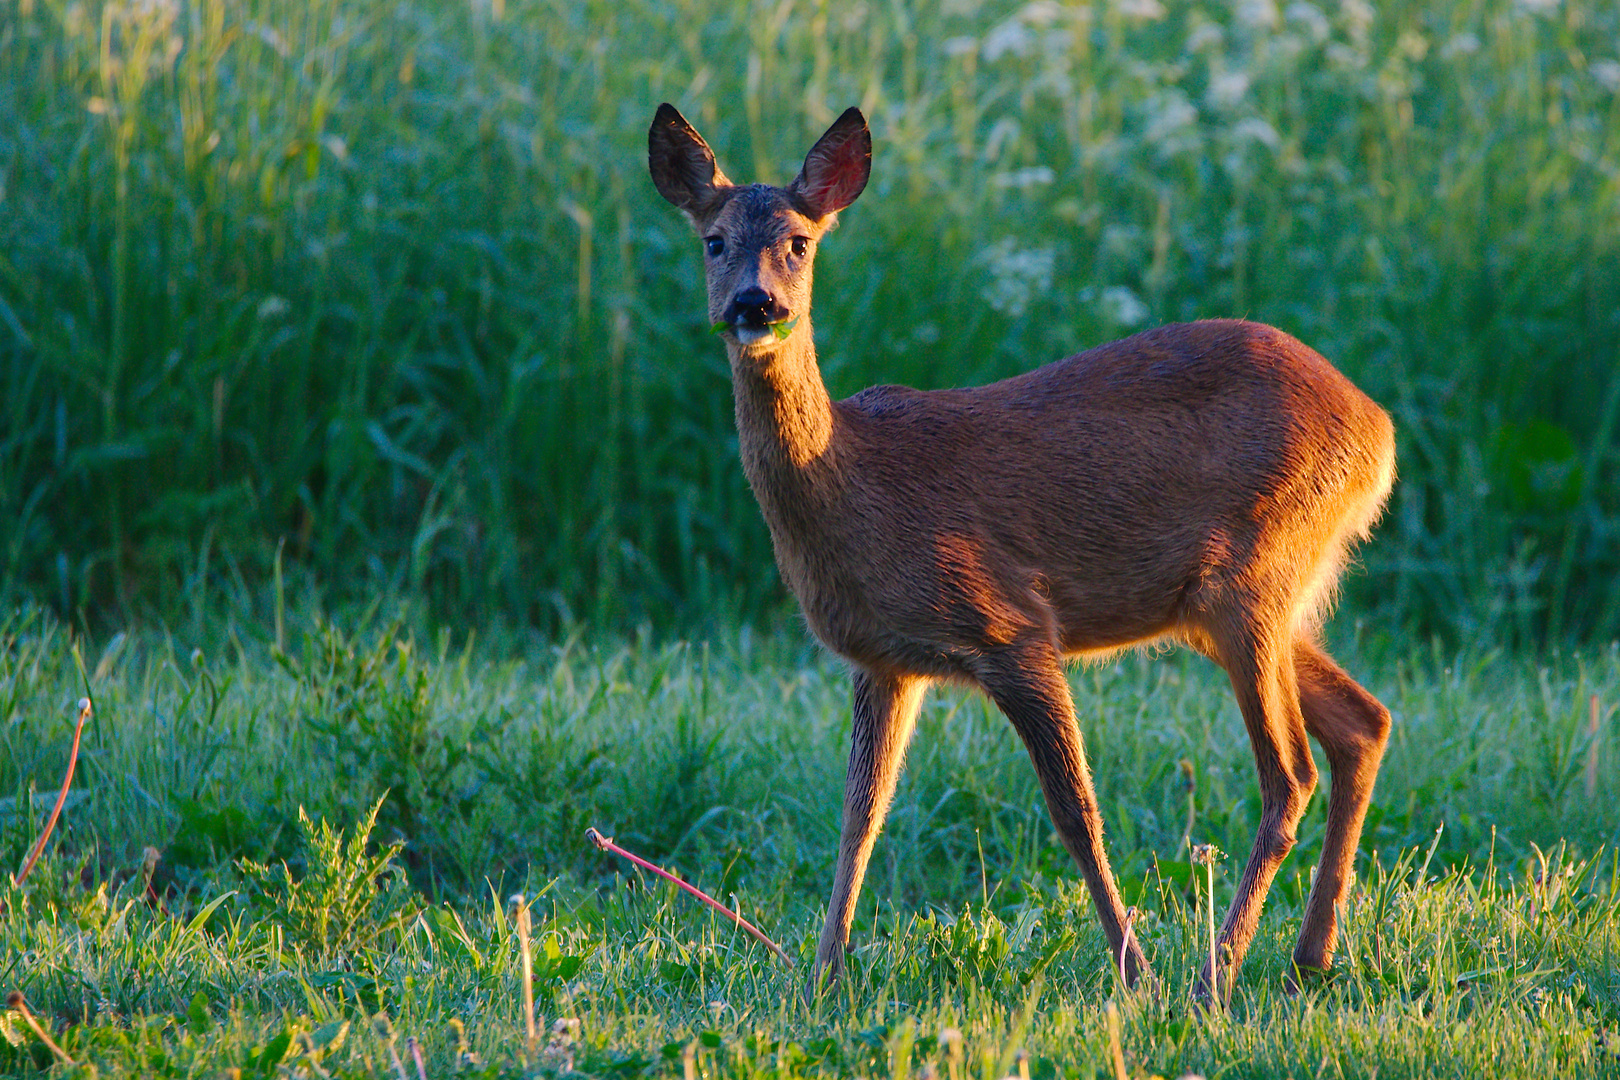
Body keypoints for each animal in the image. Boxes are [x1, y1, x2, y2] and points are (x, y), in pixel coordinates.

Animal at [644, 103, 1393, 1003]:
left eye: (798, 241)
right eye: (714, 240)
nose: (755, 304)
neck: (855, 479)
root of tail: (1379, 428)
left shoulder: (1013, 626)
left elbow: (1076, 812)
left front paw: (1134, 972)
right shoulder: (883, 660)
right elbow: (862, 815)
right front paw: (823, 976)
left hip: (1251, 579)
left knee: (1290, 774)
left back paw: (1213, 979)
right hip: (1235, 604)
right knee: (1364, 721)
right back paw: (1306, 957)